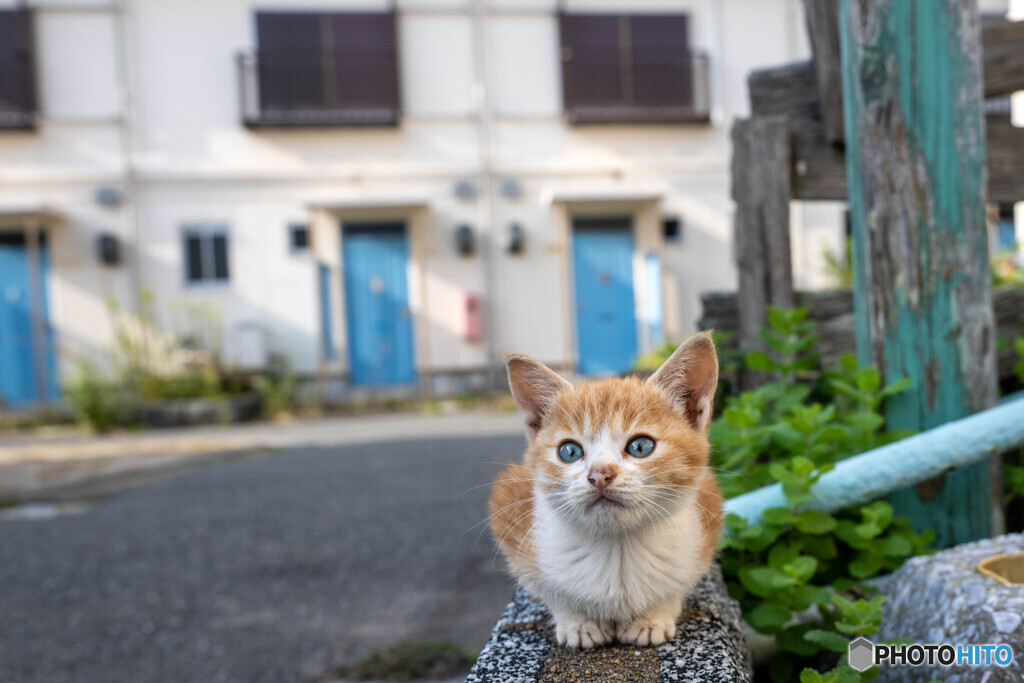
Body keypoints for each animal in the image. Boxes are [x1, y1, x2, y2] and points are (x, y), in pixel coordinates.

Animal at [487, 335, 720, 651]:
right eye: (570, 452)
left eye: (640, 447)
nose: (599, 475)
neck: (617, 547)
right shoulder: (510, 511)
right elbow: (552, 592)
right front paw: (579, 623)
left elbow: (676, 586)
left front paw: (653, 618)